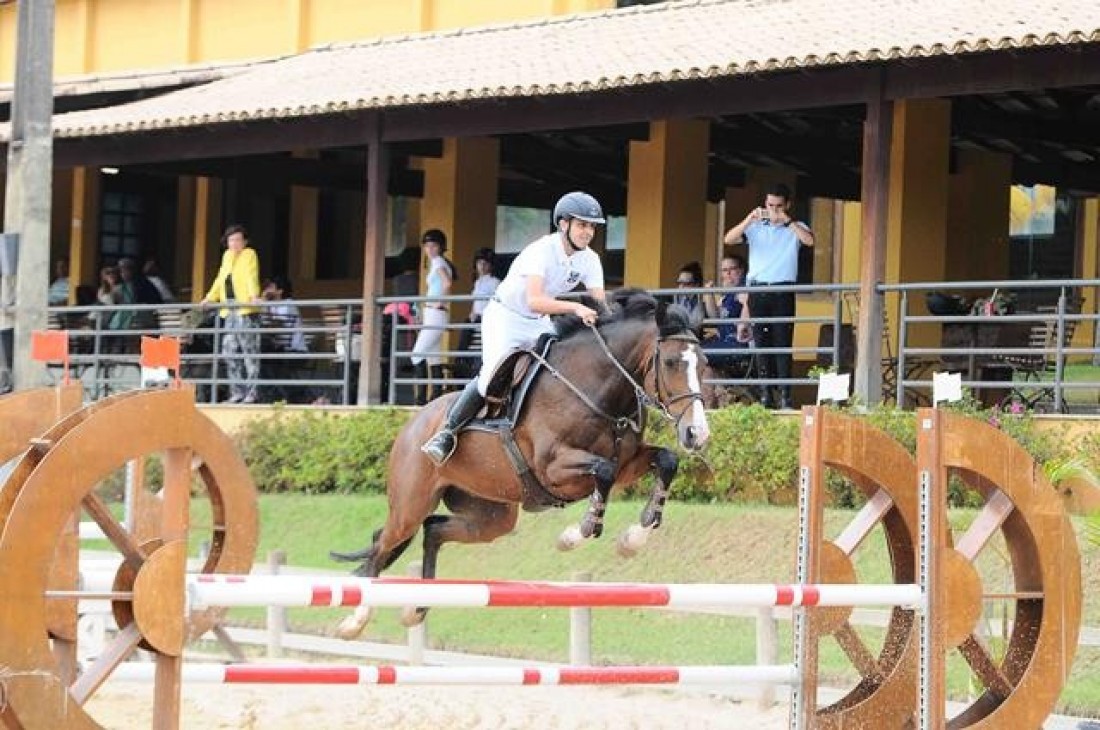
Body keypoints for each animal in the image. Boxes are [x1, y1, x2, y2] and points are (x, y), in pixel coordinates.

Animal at [331, 289, 710, 638]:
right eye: (671, 363)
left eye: (704, 364)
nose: (697, 434)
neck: (597, 388)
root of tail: (411, 425)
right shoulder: (554, 469)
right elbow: (602, 472)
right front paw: (575, 535)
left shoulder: (626, 462)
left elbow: (666, 460)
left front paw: (633, 538)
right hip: (410, 503)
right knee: (383, 544)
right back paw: (355, 621)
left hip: (491, 516)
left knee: (434, 530)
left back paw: (417, 608)